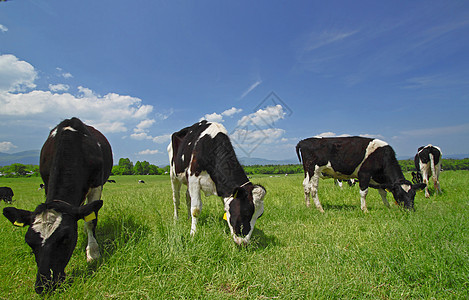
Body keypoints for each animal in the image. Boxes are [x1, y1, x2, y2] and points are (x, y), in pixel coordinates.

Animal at [2, 117, 113, 292]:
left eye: (65, 239)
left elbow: (90, 221)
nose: (44, 285)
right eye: (29, 241)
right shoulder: (46, 183)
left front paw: (93, 253)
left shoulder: (96, 185)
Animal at [296, 137, 424, 212]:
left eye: (413, 194)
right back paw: (320, 208)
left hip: (308, 171)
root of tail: (303, 141)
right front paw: (364, 209)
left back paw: (308, 206)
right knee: (313, 189)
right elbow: (364, 192)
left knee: (306, 186)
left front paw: (388, 206)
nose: (410, 209)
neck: (382, 156)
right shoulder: (364, 174)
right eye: (400, 194)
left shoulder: (378, 179)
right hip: (315, 170)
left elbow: (383, 192)